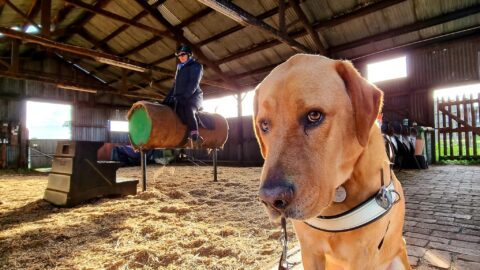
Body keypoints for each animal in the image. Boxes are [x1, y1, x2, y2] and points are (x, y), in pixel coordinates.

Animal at [253, 54, 410, 270]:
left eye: (314, 115)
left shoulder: (364, 257)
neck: (339, 193)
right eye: (264, 125)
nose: (270, 199)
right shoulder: (309, 251)